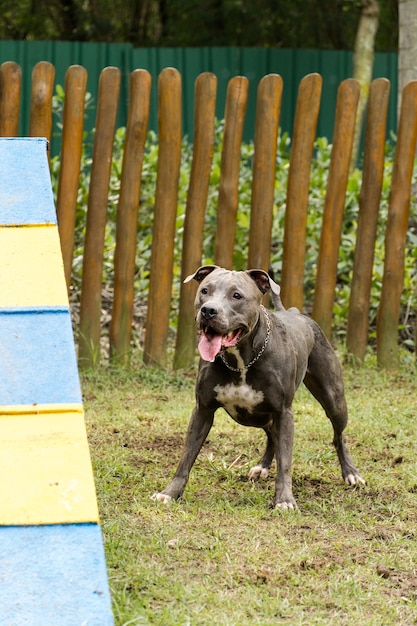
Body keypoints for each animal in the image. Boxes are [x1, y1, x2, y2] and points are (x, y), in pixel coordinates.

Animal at [151, 264, 362, 508]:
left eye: (237, 295)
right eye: (205, 290)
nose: (208, 310)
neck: (241, 360)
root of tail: (294, 312)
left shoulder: (284, 412)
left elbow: (285, 461)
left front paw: (284, 499)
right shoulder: (203, 410)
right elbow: (186, 456)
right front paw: (170, 492)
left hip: (333, 400)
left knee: (338, 436)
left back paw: (351, 472)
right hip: (258, 416)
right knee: (272, 435)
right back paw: (262, 466)